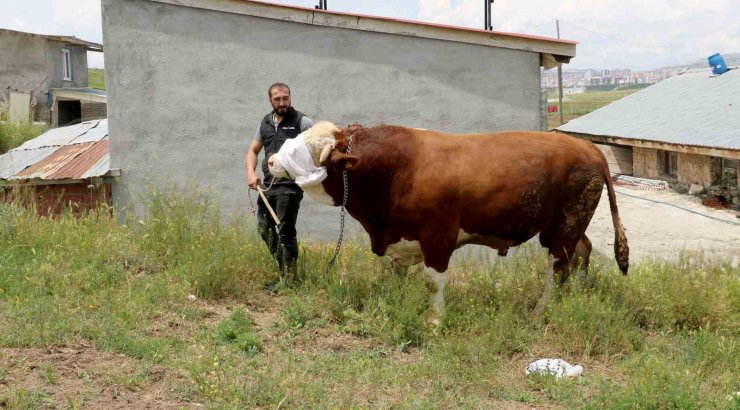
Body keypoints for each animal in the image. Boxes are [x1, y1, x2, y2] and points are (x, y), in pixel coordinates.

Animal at [268, 121, 628, 318]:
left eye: (304, 149)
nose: (270, 160)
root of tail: (589, 147)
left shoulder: (438, 236)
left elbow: (433, 281)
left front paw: (435, 320)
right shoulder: (402, 237)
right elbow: (397, 275)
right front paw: (397, 303)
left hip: (564, 224)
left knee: (559, 266)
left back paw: (541, 310)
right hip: (568, 225)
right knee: (583, 252)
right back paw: (580, 293)